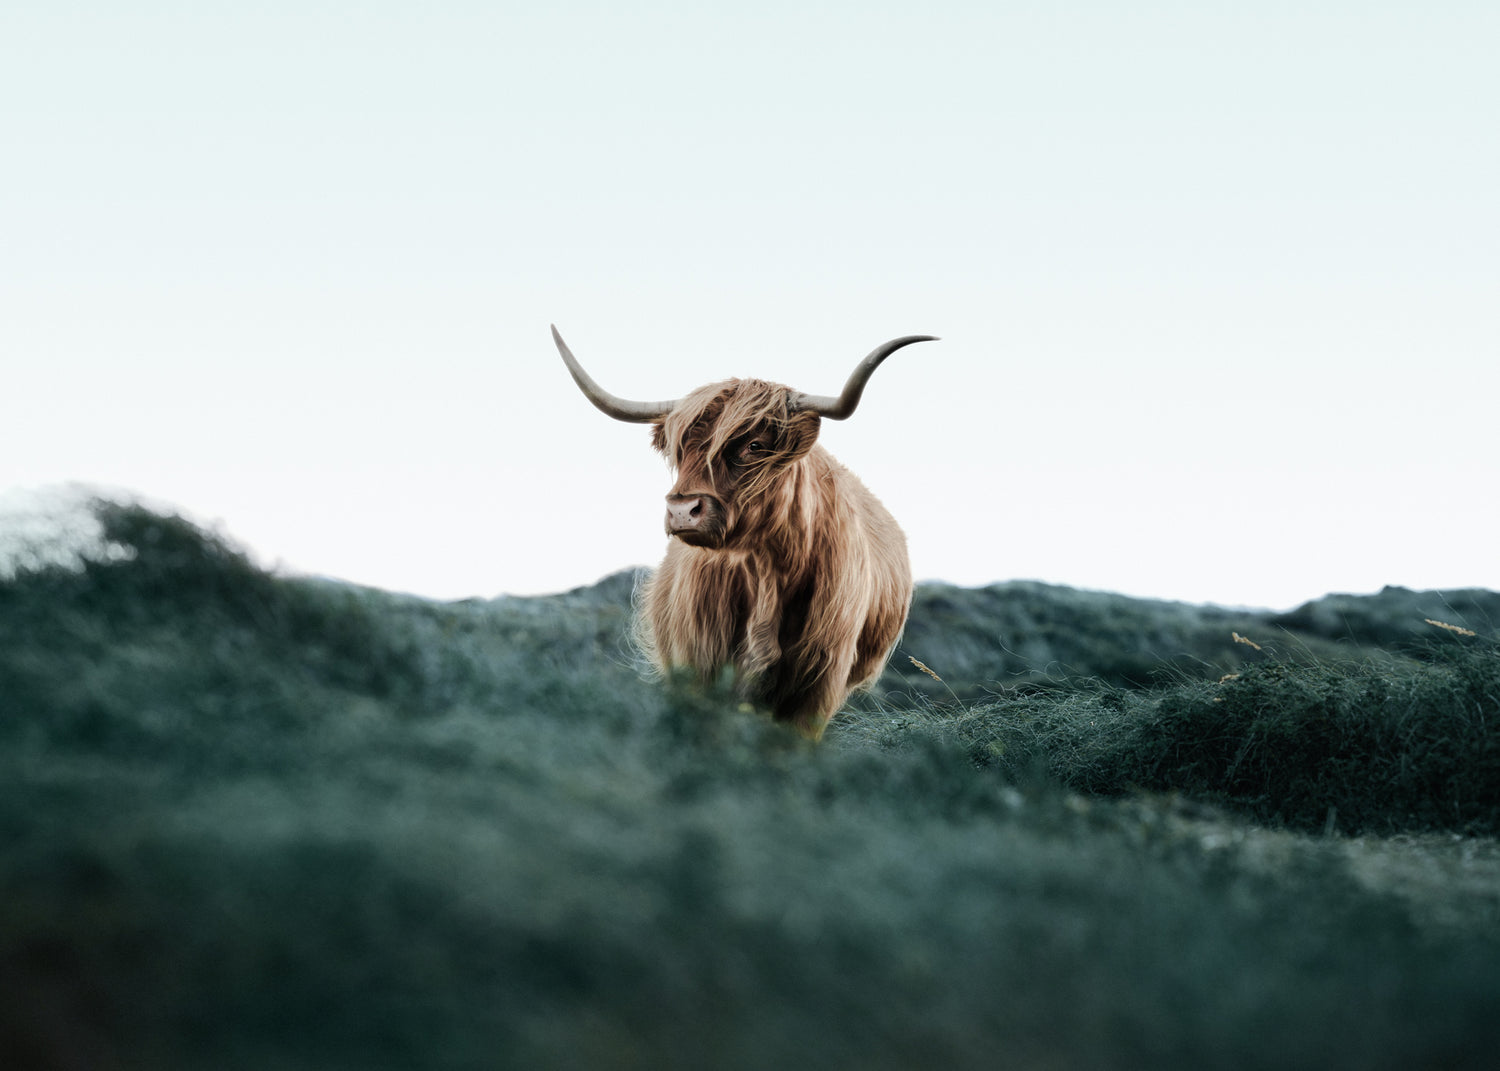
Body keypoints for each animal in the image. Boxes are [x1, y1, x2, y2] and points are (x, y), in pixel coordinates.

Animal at [551, 325, 937, 739]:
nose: (682, 510)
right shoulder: (697, 664)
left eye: (755, 445)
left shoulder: (820, 681)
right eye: (681, 450)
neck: (765, 569)